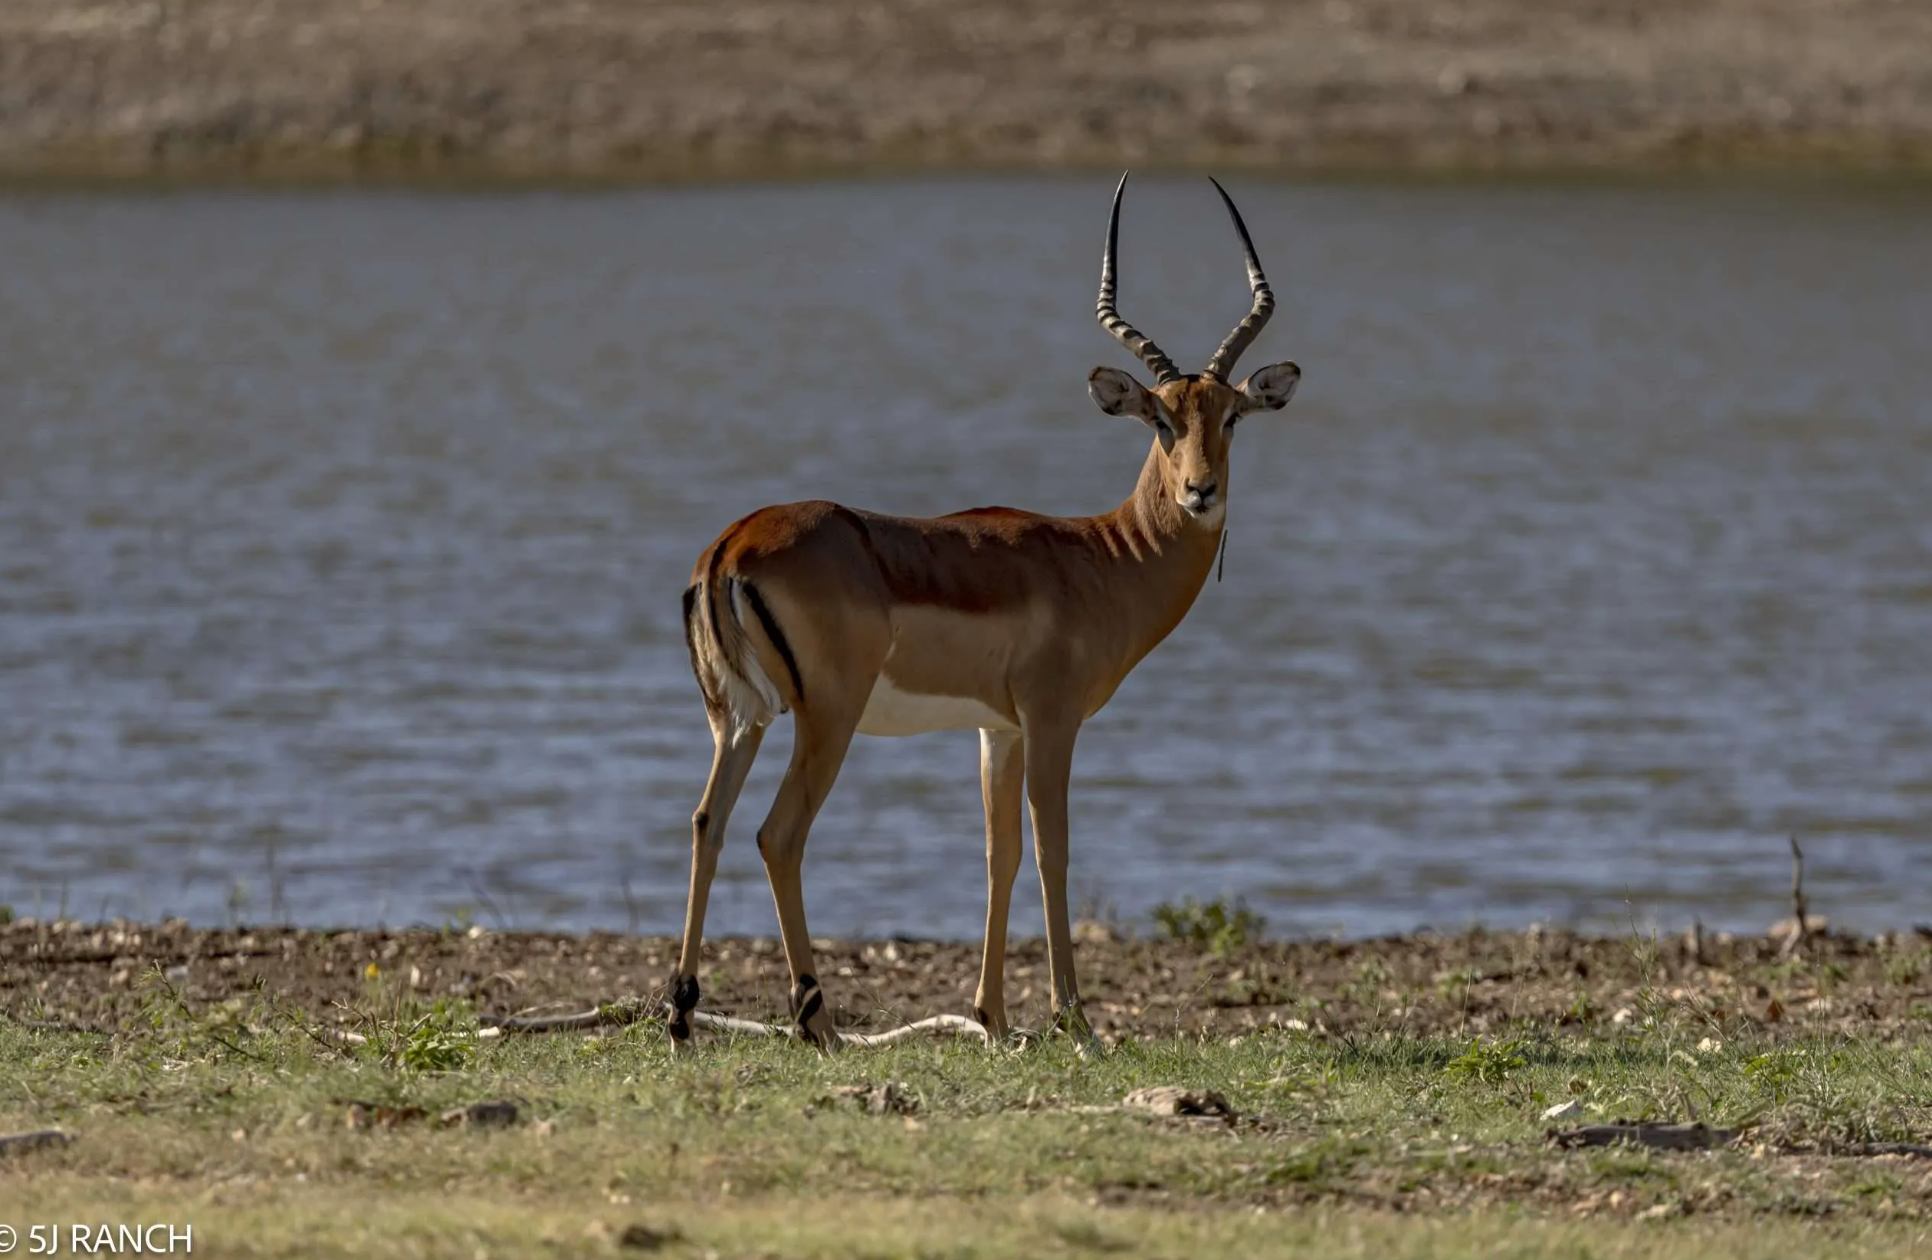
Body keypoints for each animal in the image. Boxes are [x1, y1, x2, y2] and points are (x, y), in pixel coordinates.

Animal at [670, 173, 1300, 1050]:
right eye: (1160, 418)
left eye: (1231, 415)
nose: (1199, 491)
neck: (1103, 557)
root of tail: (732, 544)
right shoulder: (1051, 720)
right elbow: (1051, 849)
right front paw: (1075, 1018)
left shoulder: (995, 730)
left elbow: (999, 855)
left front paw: (992, 1017)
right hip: (826, 718)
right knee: (779, 834)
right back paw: (816, 1020)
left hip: (738, 718)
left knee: (708, 822)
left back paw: (682, 1013)